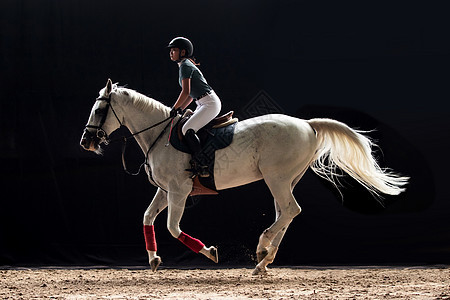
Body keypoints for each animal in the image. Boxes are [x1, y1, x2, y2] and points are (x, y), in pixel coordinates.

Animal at [80, 79, 408, 274]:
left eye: (98, 110)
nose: (86, 142)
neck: (160, 135)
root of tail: (307, 124)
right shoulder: (164, 190)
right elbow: (148, 217)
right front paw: (153, 260)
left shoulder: (179, 190)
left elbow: (173, 228)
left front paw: (210, 252)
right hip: (286, 180)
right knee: (286, 213)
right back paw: (264, 260)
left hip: (277, 178)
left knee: (290, 210)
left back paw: (262, 249)